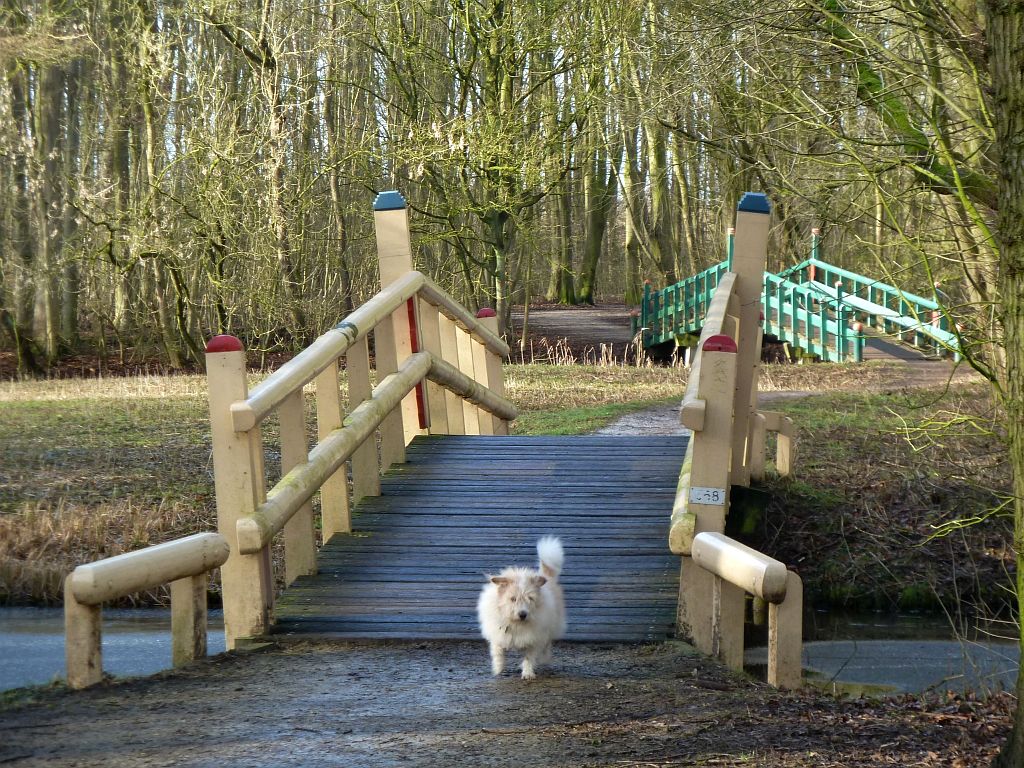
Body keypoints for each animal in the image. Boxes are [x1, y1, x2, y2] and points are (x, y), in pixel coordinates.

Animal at [475, 536, 565, 679]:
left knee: (546, 645)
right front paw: (498, 668)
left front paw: (527, 673)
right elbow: (498, 652)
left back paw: (544, 658)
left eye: (530, 598)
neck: (516, 623)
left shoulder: (534, 639)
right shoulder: (497, 635)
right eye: (513, 599)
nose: (522, 614)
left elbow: (529, 657)